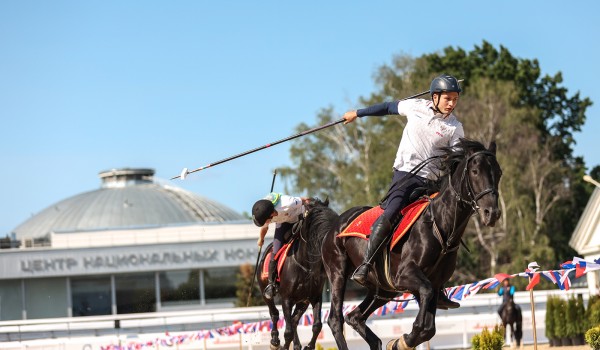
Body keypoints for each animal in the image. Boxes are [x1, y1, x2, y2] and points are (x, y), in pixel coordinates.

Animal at [256, 198, 340, 350]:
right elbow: (288, 331)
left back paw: (296, 345)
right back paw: (274, 341)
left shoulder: (315, 297)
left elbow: (317, 326)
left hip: (302, 301)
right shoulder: (286, 299)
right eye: (315, 220)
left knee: (294, 320)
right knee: (275, 314)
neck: (304, 264)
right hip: (266, 293)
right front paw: (283, 345)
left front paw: (308, 346)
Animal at [324, 139, 502, 350]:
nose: (492, 213)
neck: (439, 225)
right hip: (338, 273)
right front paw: (403, 339)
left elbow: (429, 328)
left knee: (355, 316)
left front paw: (399, 342)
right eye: (475, 171)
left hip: (383, 290)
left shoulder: (433, 283)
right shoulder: (406, 276)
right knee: (335, 319)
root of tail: (336, 223)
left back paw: (377, 342)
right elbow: (424, 308)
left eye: (499, 172)